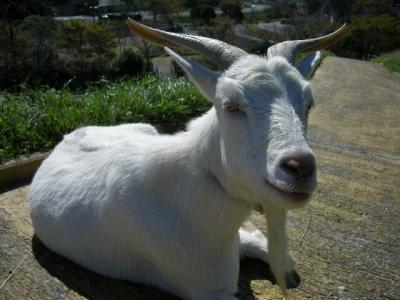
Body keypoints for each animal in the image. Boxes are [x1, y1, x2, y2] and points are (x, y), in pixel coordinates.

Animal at [28, 19, 346, 298]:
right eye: (231, 105)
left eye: (308, 103)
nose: (300, 168)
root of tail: (68, 137)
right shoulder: (206, 290)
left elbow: (269, 249)